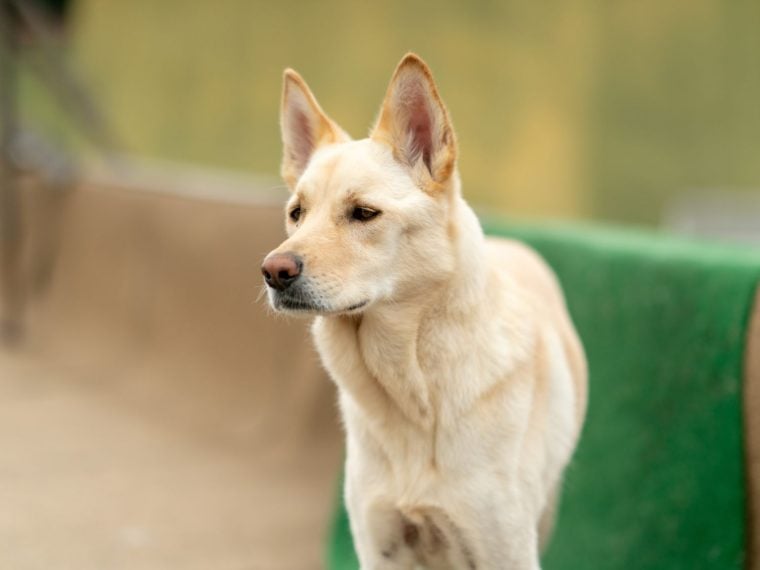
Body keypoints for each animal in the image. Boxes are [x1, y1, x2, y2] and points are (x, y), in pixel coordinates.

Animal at [262, 53, 588, 568]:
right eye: (297, 213)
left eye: (363, 213)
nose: (273, 271)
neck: (410, 390)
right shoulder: (379, 546)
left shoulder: (506, 549)